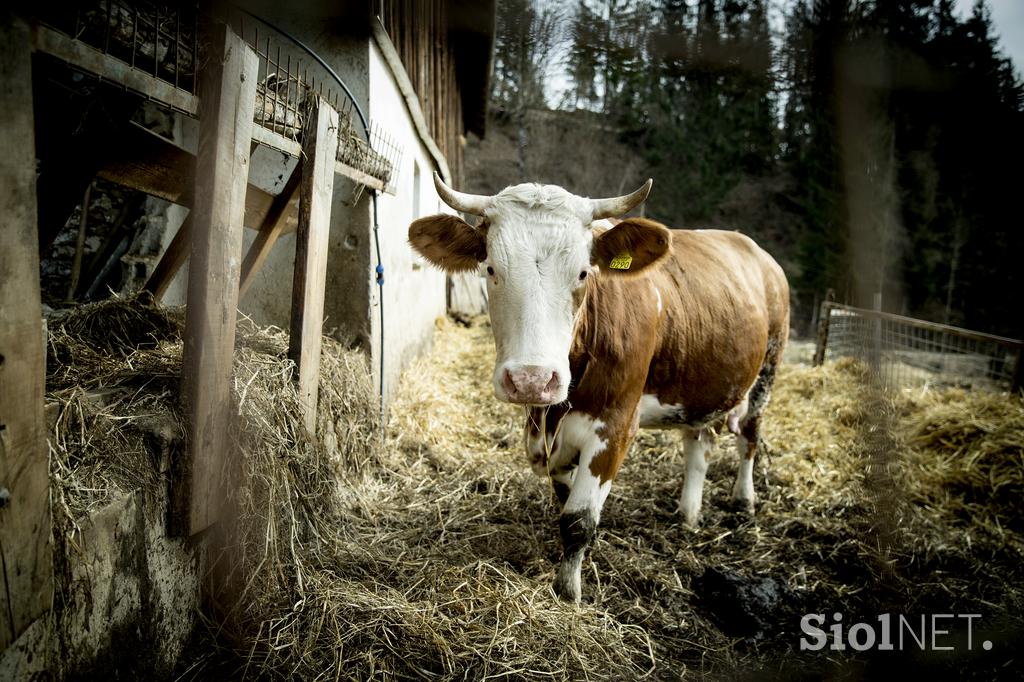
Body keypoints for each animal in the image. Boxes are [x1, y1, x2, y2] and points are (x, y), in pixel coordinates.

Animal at [407, 174, 790, 602]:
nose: (531, 380)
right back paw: (688, 513)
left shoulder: (615, 426)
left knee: (750, 437)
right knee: (699, 444)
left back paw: (744, 500)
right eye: (490, 268)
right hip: (701, 386)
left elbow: (578, 519)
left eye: (583, 273)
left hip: (768, 369)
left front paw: (568, 592)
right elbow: (565, 499)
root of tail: (754, 249)